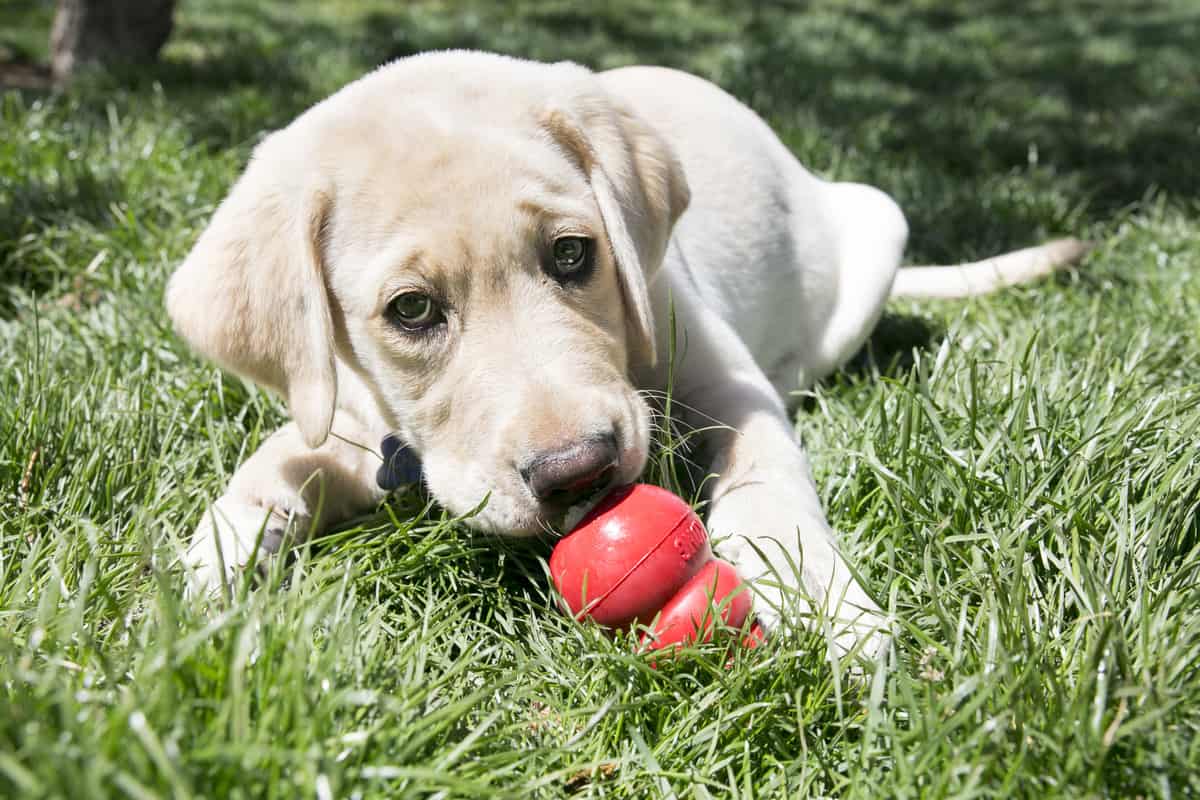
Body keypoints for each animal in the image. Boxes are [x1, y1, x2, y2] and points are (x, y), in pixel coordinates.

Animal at [171, 53, 1089, 662]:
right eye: (412, 310)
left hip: (878, 225)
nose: (578, 471)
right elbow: (276, 464)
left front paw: (831, 609)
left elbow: (768, 488)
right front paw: (205, 575)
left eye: (574, 254)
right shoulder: (351, 414)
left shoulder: (730, 387)